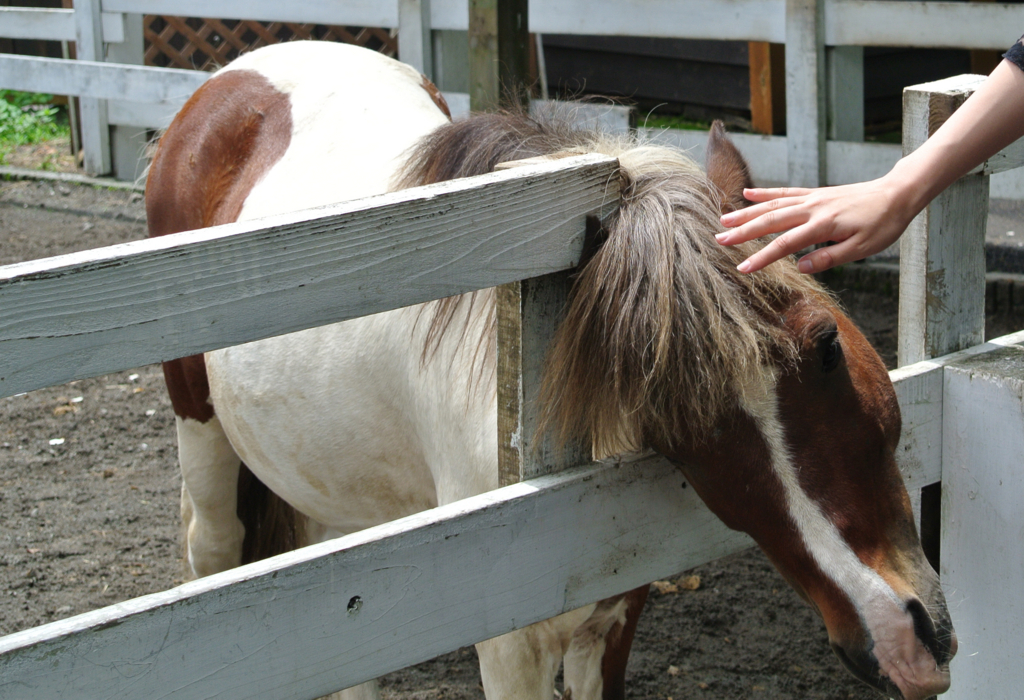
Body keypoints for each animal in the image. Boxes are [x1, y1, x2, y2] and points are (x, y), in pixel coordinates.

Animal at [145, 41, 956, 700]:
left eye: (826, 345)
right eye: (684, 427)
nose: (900, 637)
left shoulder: (614, 612)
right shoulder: (510, 645)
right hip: (201, 434)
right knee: (212, 546)